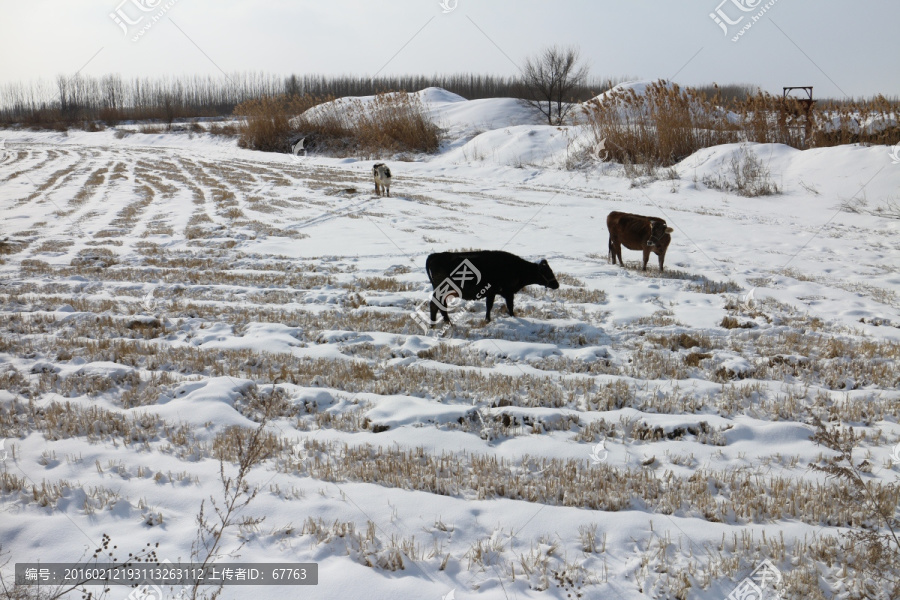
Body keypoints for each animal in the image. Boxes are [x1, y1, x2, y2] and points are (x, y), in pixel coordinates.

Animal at [426, 250, 560, 326]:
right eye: (547, 271)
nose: (556, 284)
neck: (517, 268)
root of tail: (435, 256)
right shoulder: (508, 293)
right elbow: (509, 306)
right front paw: (513, 317)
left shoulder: (492, 293)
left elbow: (489, 306)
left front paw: (487, 320)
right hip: (442, 290)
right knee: (434, 305)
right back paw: (437, 324)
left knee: (440, 306)